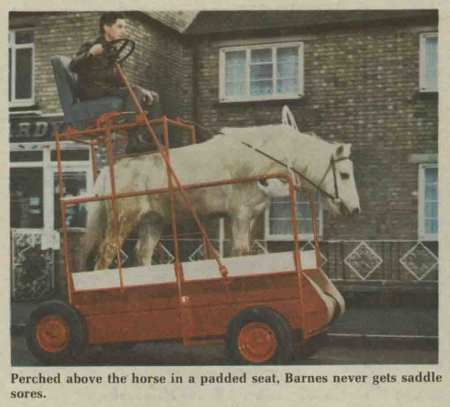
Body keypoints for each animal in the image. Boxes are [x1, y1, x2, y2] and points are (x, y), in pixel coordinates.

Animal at [82, 123, 360, 271]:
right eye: (345, 174)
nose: (355, 209)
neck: (256, 162)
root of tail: (113, 169)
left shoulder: (251, 217)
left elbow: (247, 252)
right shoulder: (240, 215)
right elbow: (239, 252)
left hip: (152, 222)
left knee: (143, 255)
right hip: (122, 219)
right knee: (106, 254)